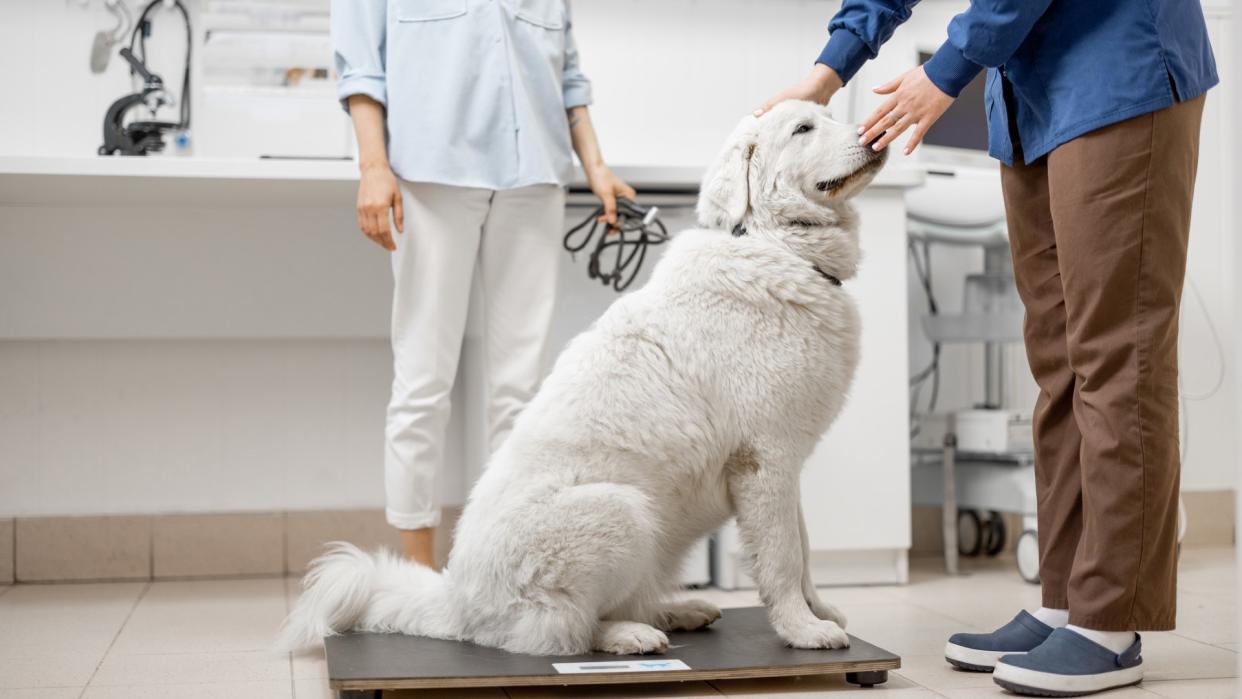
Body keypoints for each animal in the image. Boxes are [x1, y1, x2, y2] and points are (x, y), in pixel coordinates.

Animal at [279, 101, 884, 660]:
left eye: (830, 115)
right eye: (803, 129)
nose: (874, 129)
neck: (770, 242)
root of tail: (454, 601)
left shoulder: (785, 467)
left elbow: (804, 553)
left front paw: (820, 611)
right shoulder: (764, 462)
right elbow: (782, 559)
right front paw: (803, 630)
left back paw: (679, 611)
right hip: (622, 511)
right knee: (557, 632)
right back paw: (631, 636)